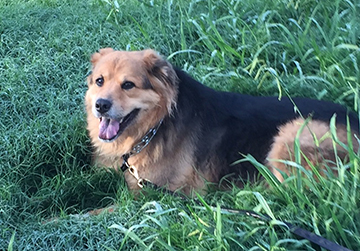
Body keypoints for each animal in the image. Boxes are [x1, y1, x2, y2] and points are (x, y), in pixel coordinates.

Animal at [86, 48, 358, 195]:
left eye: (128, 85)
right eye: (100, 81)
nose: (101, 105)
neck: (157, 125)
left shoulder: (152, 195)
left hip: (293, 134)